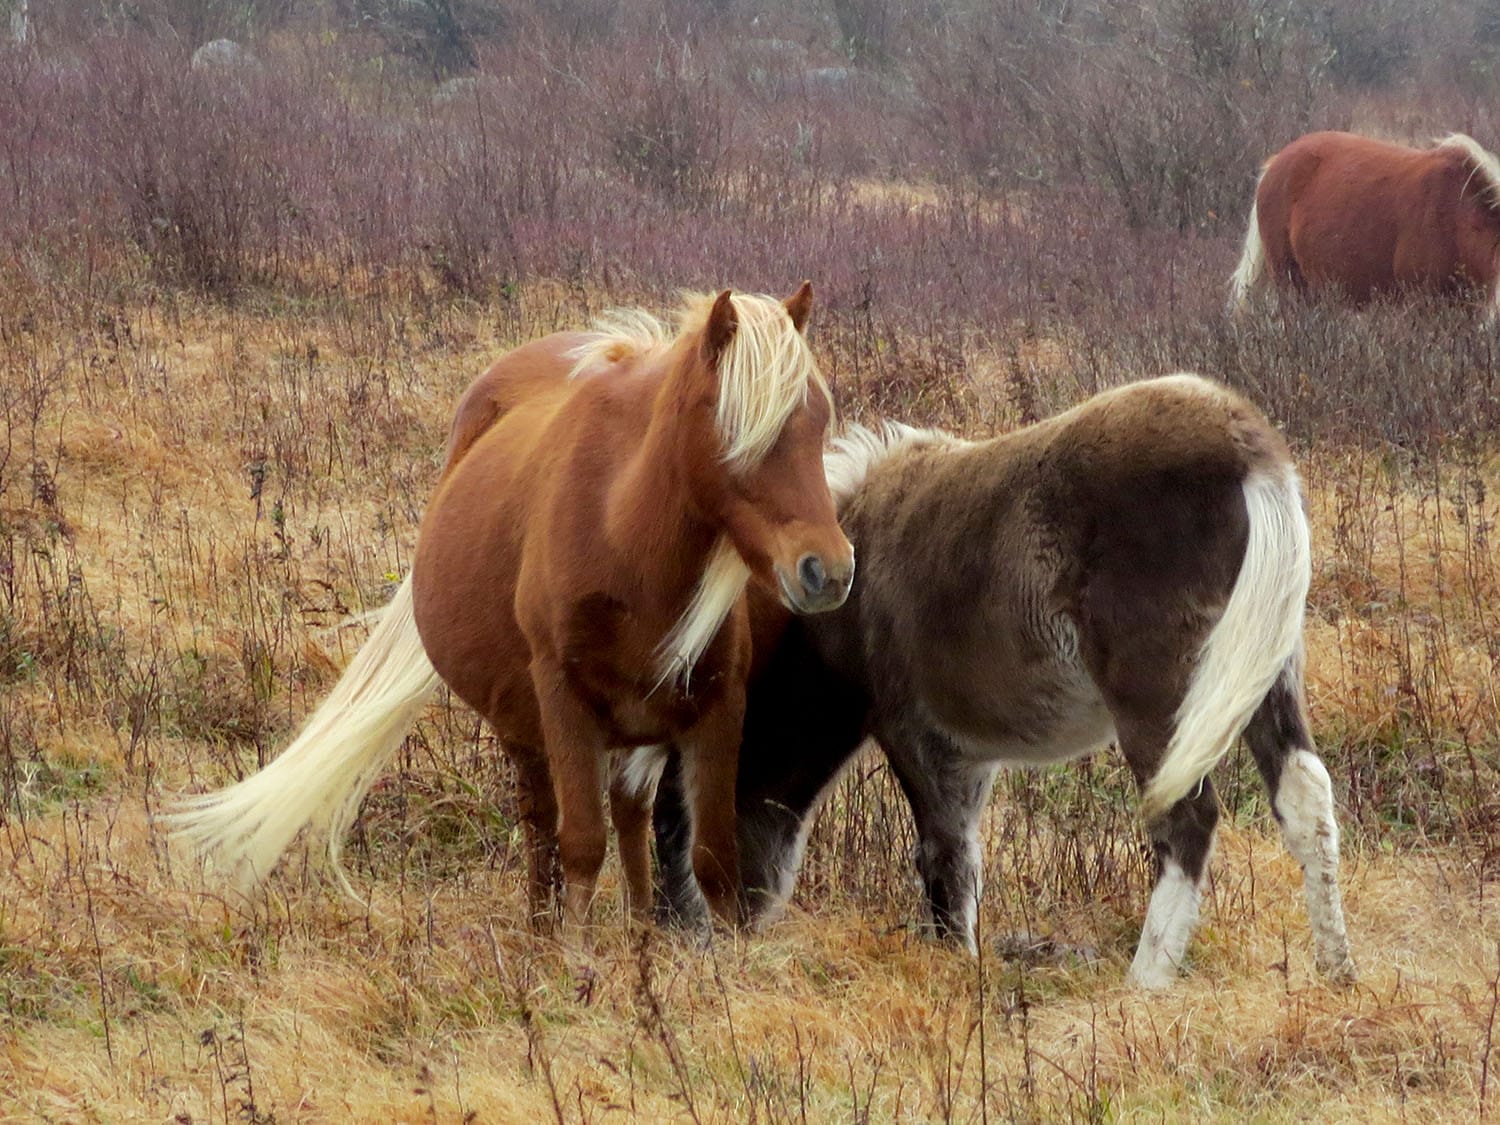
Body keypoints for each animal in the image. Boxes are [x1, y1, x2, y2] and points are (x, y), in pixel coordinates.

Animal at [168, 288, 852, 936]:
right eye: (735, 427)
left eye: (819, 421)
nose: (830, 570)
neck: (623, 535)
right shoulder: (563, 699)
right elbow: (581, 845)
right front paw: (577, 964)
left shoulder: (716, 709)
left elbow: (713, 861)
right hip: (524, 724)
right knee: (542, 821)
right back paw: (543, 935)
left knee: (626, 818)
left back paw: (638, 936)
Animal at [651, 376, 1356, 984]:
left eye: (673, 828)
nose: (678, 937)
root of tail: (1246, 447)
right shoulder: (968, 756)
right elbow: (963, 858)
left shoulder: (915, 735)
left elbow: (942, 856)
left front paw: (954, 967)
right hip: (1262, 674)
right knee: (1304, 795)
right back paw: (1337, 970)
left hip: (1158, 697)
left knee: (1186, 816)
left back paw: (1145, 982)